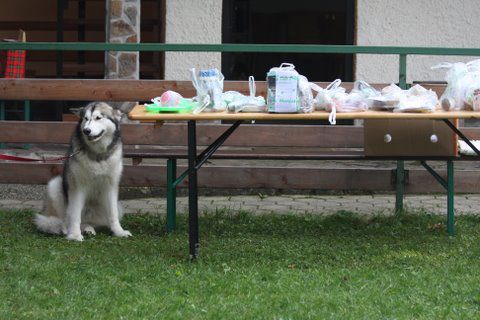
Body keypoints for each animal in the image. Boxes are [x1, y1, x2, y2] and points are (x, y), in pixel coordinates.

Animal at [33, 102, 131, 240]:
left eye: (98, 118)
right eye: (85, 118)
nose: (86, 130)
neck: (97, 155)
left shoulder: (111, 186)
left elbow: (113, 214)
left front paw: (119, 232)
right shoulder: (77, 186)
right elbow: (74, 214)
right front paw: (74, 234)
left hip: (116, 206)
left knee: (89, 221)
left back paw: (88, 228)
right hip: (55, 185)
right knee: (62, 219)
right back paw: (65, 228)